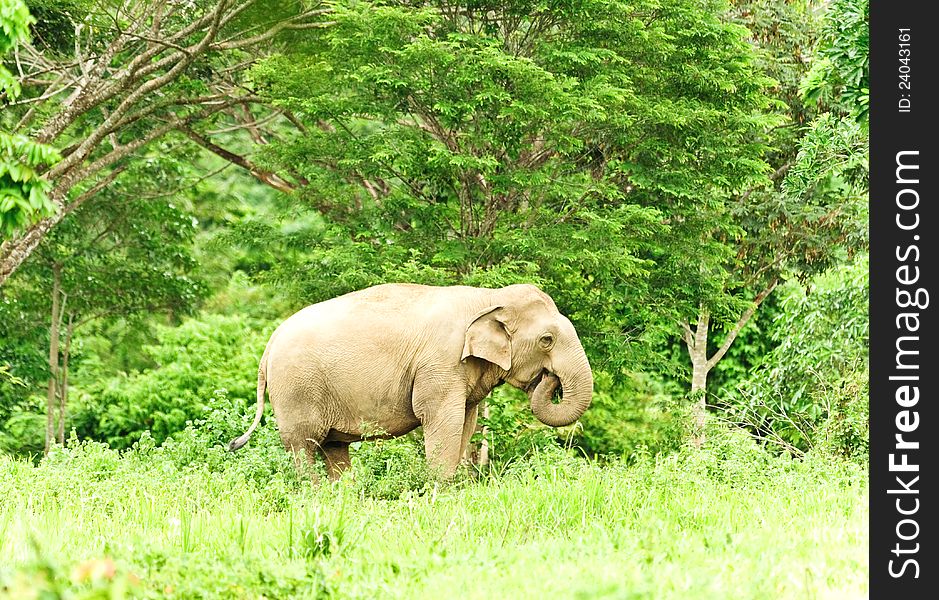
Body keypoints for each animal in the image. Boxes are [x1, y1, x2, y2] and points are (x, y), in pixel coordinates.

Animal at [229, 284, 596, 480]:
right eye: (547, 340)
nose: (550, 379)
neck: (489, 298)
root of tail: (269, 345)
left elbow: (465, 422)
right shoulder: (441, 363)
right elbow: (441, 419)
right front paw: (439, 490)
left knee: (334, 448)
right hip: (297, 389)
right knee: (303, 445)